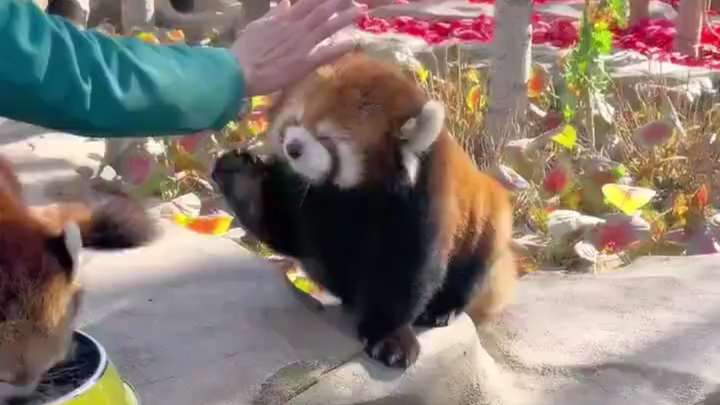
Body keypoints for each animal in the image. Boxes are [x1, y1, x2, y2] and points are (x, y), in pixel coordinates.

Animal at [212, 51, 517, 369]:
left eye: (327, 138)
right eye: (295, 121)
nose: (293, 147)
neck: (349, 195)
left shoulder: (419, 203)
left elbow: (402, 273)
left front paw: (388, 336)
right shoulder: (309, 201)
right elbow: (285, 227)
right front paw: (243, 182)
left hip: (487, 221)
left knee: (470, 270)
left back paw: (442, 308)